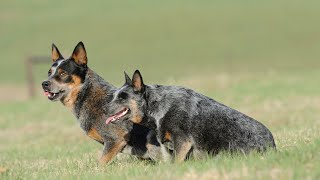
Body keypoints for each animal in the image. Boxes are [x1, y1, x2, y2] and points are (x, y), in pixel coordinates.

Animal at [106, 70, 276, 162]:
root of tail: (272, 146)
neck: (157, 107)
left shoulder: (182, 141)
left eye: (122, 97)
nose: (104, 108)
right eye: (114, 96)